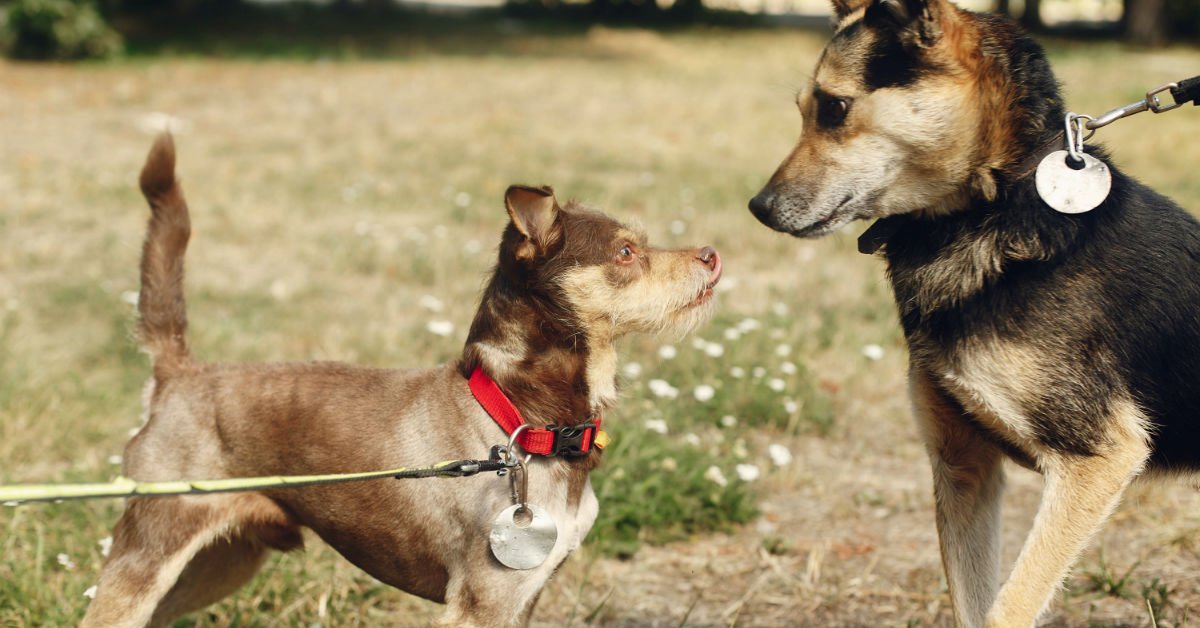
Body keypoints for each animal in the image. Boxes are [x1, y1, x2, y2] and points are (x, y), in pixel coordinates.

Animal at [87, 135, 720, 624]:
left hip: (220, 561)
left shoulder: (524, 597)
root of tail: (178, 372)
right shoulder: (482, 602)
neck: (522, 417)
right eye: (625, 252)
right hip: (150, 550)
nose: (712, 254)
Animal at [748, 1, 1200, 628]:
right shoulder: (965, 467)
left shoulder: (1097, 460)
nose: (758, 208)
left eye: (834, 108)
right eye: (802, 110)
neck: (996, 205)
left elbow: (1011, 604)